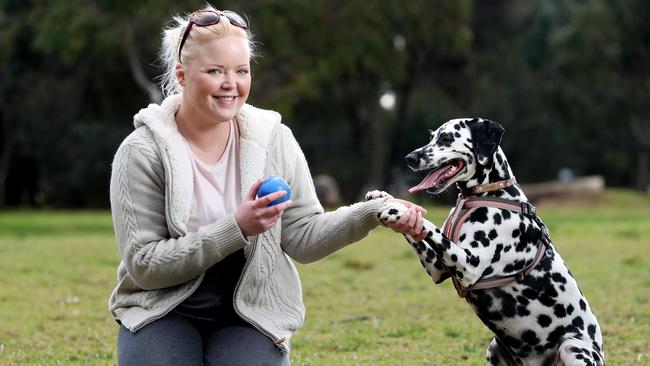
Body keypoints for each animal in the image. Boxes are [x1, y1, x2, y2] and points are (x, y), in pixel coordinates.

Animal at [368, 118, 604, 366]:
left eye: (446, 138)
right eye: (432, 136)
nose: (410, 158)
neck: (489, 193)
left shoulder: (468, 265)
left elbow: (429, 226)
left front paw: (399, 210)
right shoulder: (437, 267)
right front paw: (383, 197)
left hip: (572, 348)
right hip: (494, 348)